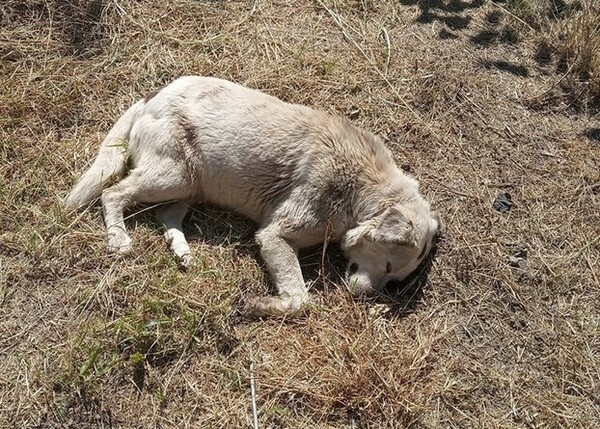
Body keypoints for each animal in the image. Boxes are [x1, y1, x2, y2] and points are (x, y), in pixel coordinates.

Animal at [67, 76, 440, 318]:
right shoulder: (274, 235)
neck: (361, 187)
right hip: (172, 176)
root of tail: (151, 96)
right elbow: (300, 300)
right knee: (112, 193)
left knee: (166, 215)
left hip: (191, 184)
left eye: (393, 280)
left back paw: (183, 252)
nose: (362, 298)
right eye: (388, 266)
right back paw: (118, 239)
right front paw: (259, 306)